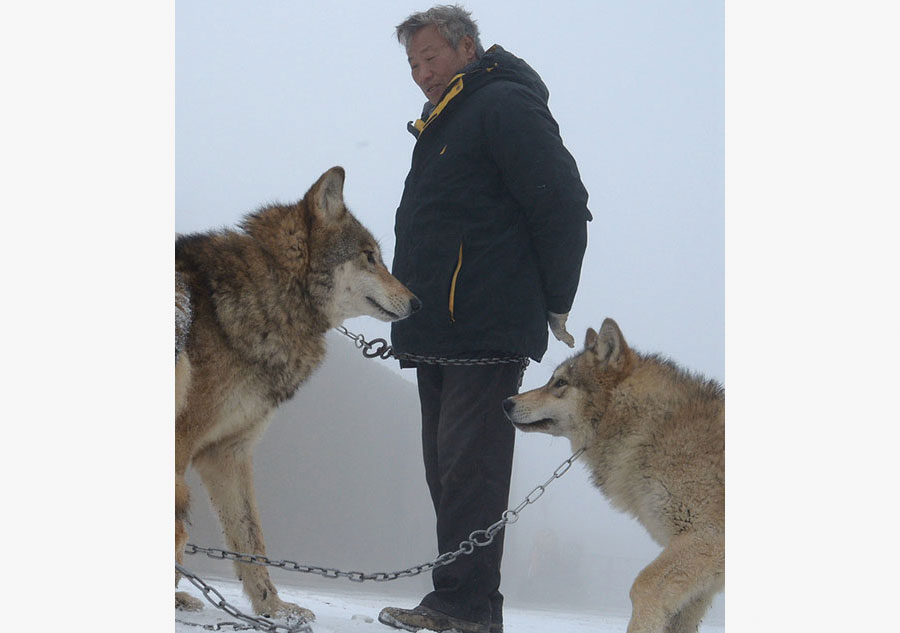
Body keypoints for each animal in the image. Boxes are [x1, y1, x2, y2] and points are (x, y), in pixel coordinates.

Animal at [174, 165, 420, 620]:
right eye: (369, 256)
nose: (418, 303)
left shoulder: (227, 452)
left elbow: (251, 541)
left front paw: (275, 609)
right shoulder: (184, 441)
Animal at [506, 318, 724, 632]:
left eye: (560, 383)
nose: (506, 402)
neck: (652, 427)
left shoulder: (706, 537)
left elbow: (642, 588)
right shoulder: (700, 575)